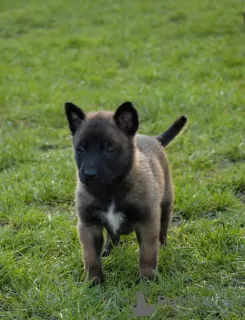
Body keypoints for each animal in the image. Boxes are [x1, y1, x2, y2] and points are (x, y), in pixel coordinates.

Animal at [64, 101, 187, 284]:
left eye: (109, 149)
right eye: (80, 149)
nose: (89, 174)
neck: (110, 190)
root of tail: (154, 139)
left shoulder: (147, 223)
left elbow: (147, 255)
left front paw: (147, 280)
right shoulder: (88, 225)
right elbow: (91, 257)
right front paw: (93, 281)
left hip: (166, 204)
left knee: (163, 230)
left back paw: (163, 247)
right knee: (111, 237)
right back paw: (107, 252)